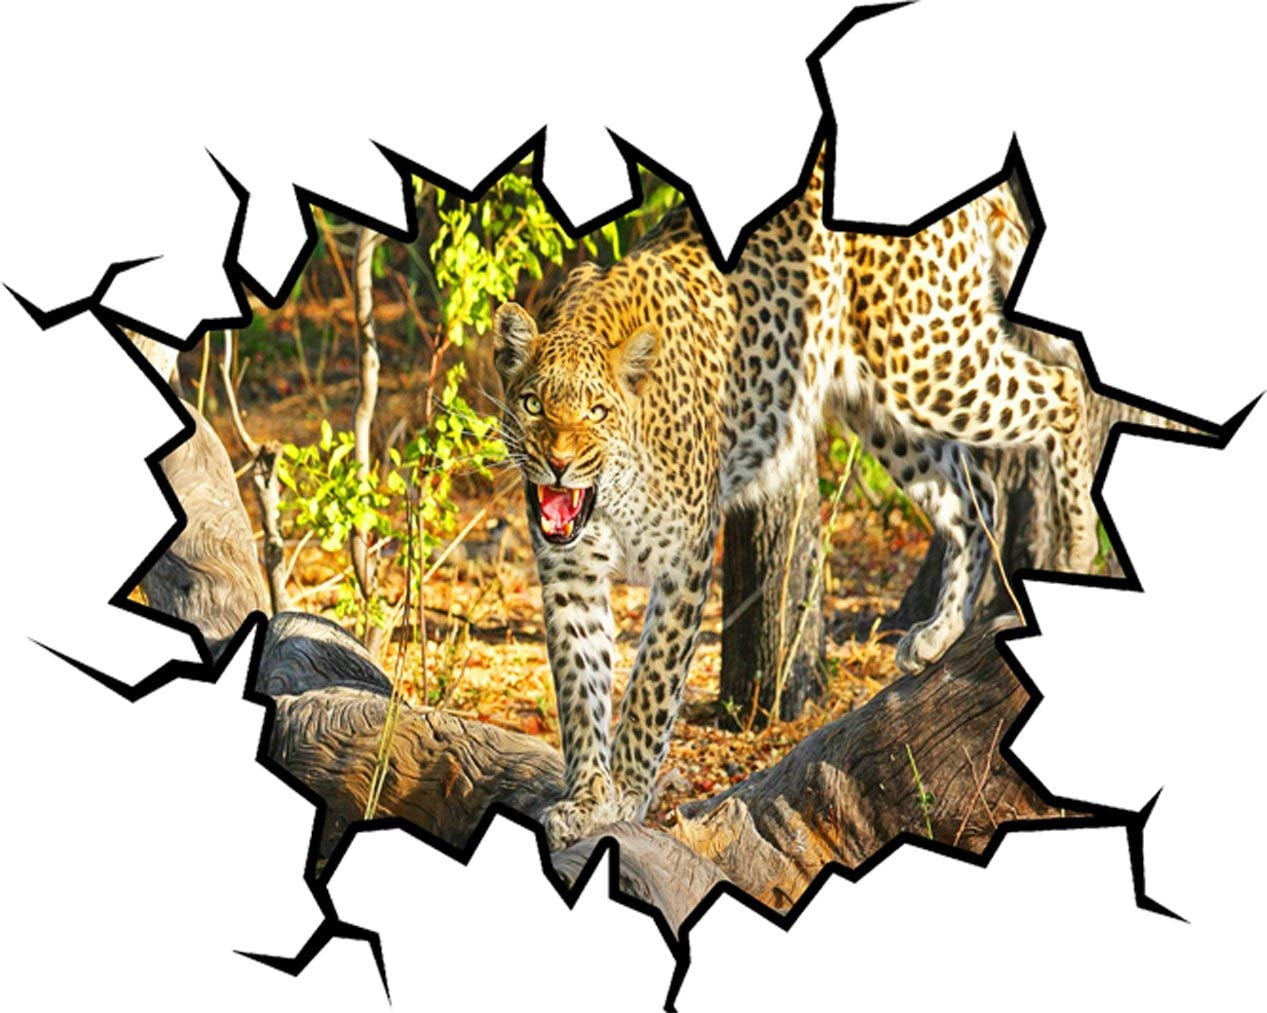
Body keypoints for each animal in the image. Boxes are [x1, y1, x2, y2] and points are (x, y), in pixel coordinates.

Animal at [491, 155, 1099, 849]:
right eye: (532, 404)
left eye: (597, 412)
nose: (560, 464)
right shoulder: (569, 574)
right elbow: (580, 686)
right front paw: (588, 797)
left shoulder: (685, 561)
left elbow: (648, 691)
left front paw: (625, 795)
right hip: (881, 407)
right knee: (977, 497)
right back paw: (938, 635)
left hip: (929, 361)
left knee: (1062, 390)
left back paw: (1077, 550)